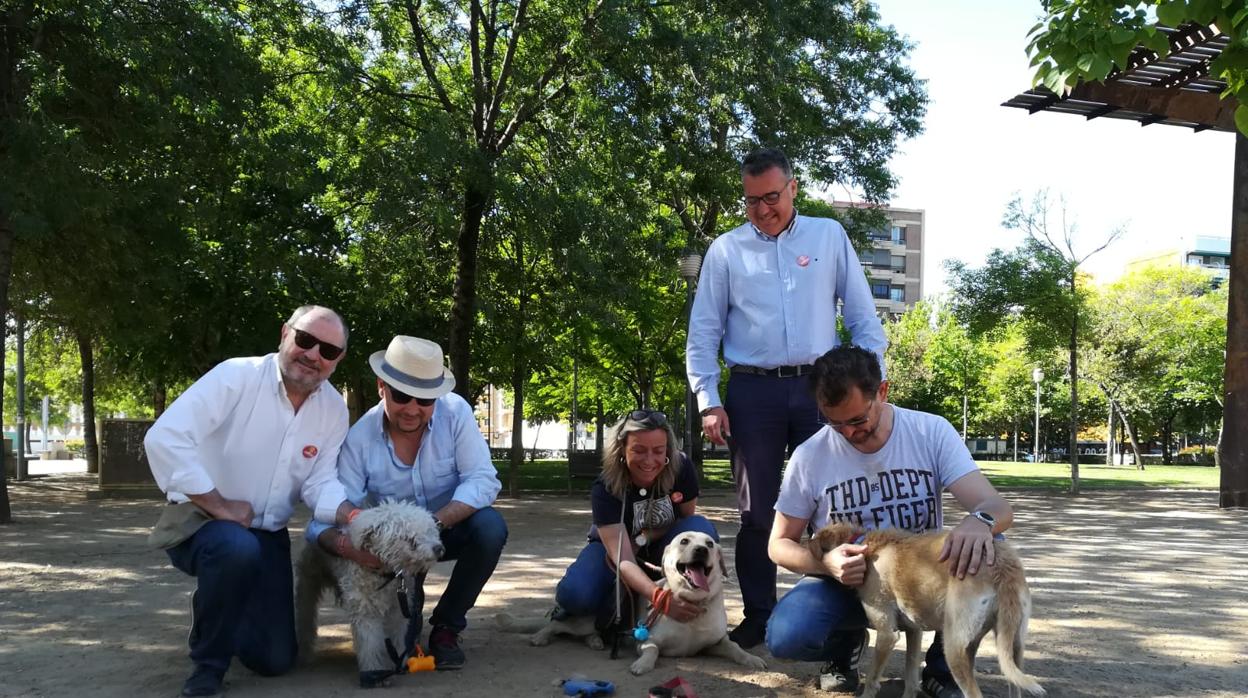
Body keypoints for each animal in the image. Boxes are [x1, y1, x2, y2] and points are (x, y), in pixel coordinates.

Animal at [293, 501, 444, 689]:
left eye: (431, 530)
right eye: (409, 538)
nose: (438, 548)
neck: (385, 575)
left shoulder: (396, 610)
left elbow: (396, 638)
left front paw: (396, 664)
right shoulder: (365, 611)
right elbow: (370, 644)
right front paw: (375, 673)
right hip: (308, 583)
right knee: (305, 616)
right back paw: (304, 653)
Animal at [808, 524, 1043, 698]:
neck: (865, 546)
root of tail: (1003, 567)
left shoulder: (886, 634)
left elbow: (872, 680)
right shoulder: (914, 631)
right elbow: (911, 676)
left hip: (953, 647)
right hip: (1011, 646)